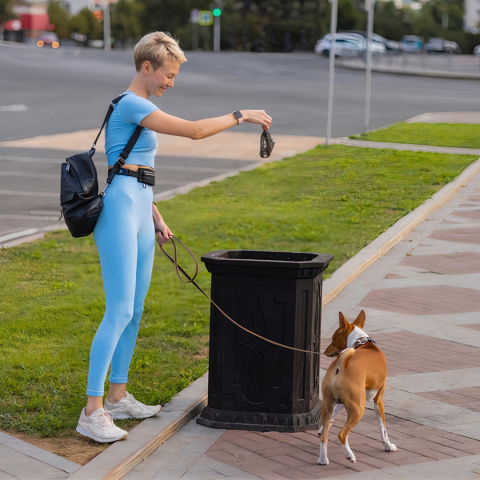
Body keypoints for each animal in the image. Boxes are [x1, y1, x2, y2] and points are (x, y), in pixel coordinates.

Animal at [318, 312, 398, 464]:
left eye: (333, 338)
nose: (325, 351)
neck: (362, 343)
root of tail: (340, 364)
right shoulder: (378, 400)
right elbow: (383, 429)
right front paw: (388, 446)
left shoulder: (339, 402)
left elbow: (331, 419)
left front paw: (321, 428)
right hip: (358, 408)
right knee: (342, 434)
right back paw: (350, 455)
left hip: (329, 404)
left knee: (324, 436)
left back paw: (323, 459)